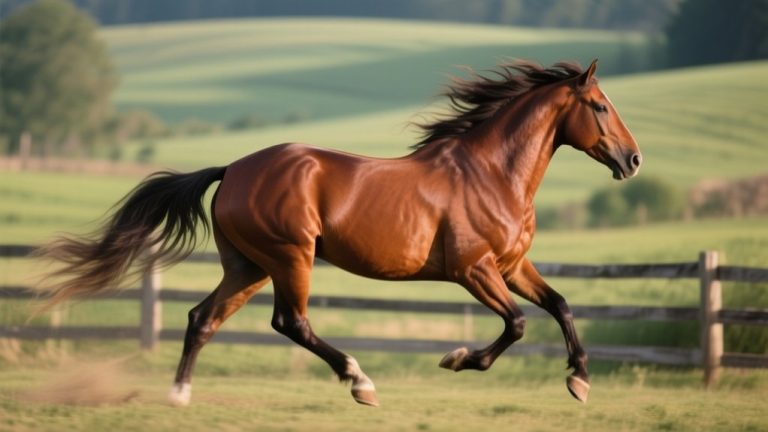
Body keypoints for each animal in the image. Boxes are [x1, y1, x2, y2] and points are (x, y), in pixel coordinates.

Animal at [38, 59, 641, 407]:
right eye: (599, 106)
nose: (633, 160)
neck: (491, 173)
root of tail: (232, 169)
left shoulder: (512, 266)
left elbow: (560, 305)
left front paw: (580, 380)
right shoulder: (473, 269)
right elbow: (516, 324)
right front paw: (457, 359)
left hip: (248, 266)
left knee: (202, 317)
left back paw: (179, 394)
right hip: (290, 257)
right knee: (290, 322)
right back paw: (360, 382)